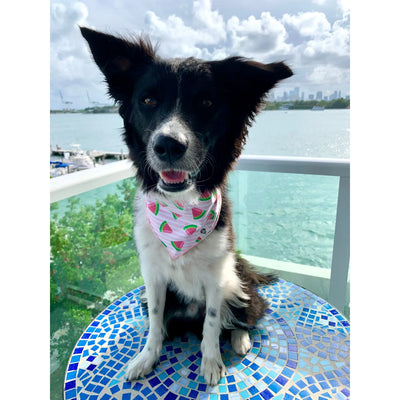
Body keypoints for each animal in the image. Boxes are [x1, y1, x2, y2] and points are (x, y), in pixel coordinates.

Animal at [81, 26, 294, 386]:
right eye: (148, 100)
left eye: (207, 103)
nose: (168, 145)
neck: (181, 210)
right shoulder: (152, 278)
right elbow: (155, 323)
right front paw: (147, 357)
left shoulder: (216, 278)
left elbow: (212, 323)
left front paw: (210, 362)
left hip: (238, 282)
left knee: (245, 315)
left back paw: (240, 339)